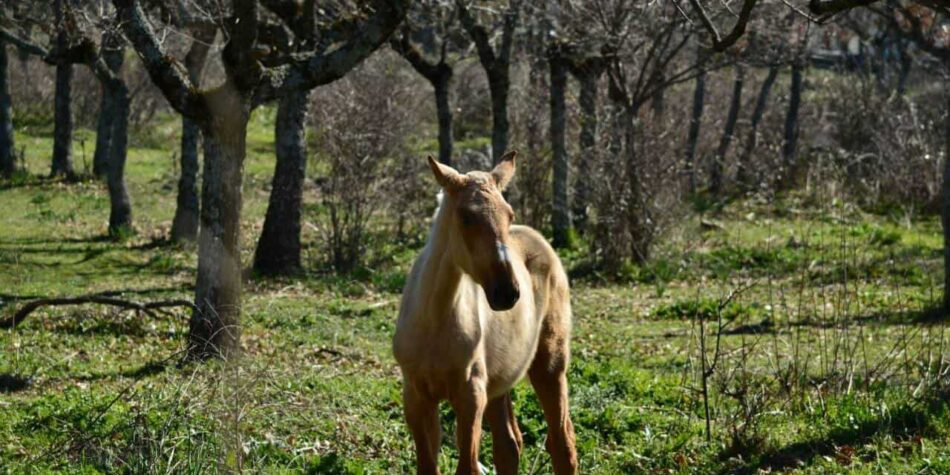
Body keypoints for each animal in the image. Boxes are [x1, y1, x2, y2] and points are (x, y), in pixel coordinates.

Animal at [396, 153, 580, 475]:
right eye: (466, 216)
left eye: (509, 214)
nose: (507, 292)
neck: (434, 323)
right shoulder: (416, 397)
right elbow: (428, 466)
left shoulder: (471, 396)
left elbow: (467, 467)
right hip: (499, 382)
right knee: (510, 445)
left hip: (549, 366)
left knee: (562, 442)